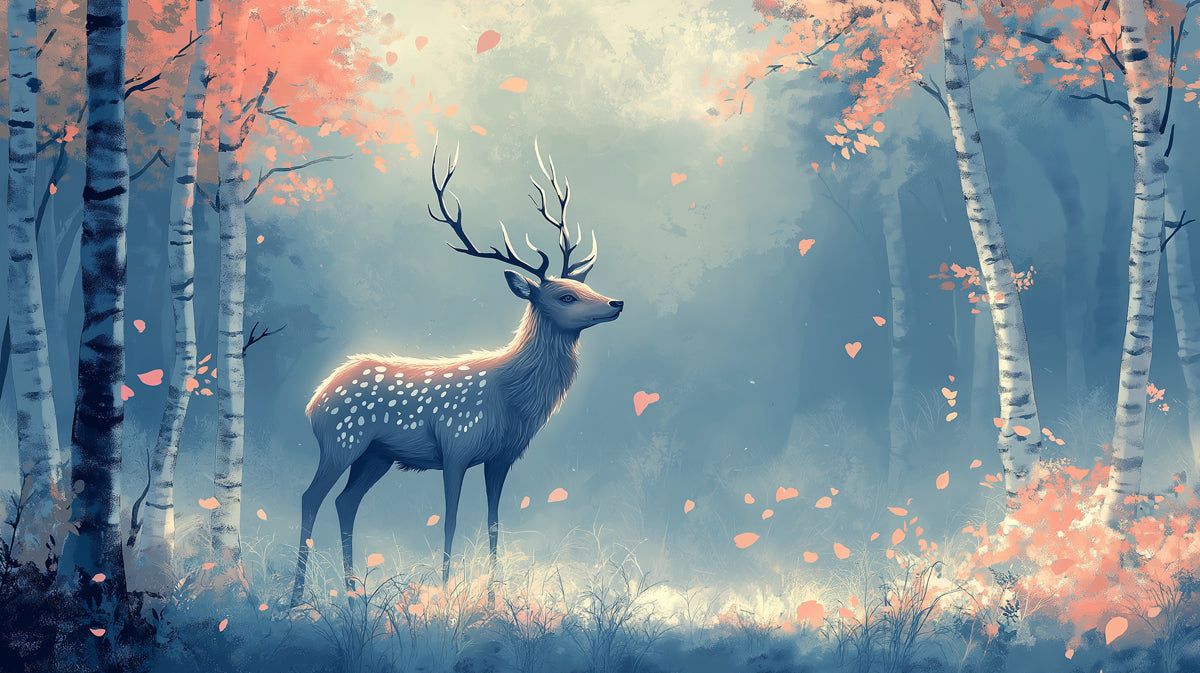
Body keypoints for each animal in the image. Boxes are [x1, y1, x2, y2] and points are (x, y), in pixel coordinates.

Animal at [290, 140, 623, 607]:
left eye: (585, 286)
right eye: (566, 296)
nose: (616, 303)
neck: (514, 401)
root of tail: (314, 399)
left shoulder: (501, 457)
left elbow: (494, 521)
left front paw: (493, 597)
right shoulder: (456, 444)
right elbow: (450, 518)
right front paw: (447, 593)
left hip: (376, 456)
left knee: (345, 502)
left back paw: (354, 592)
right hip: (341, 439)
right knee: (310, 497)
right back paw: (297, 597)